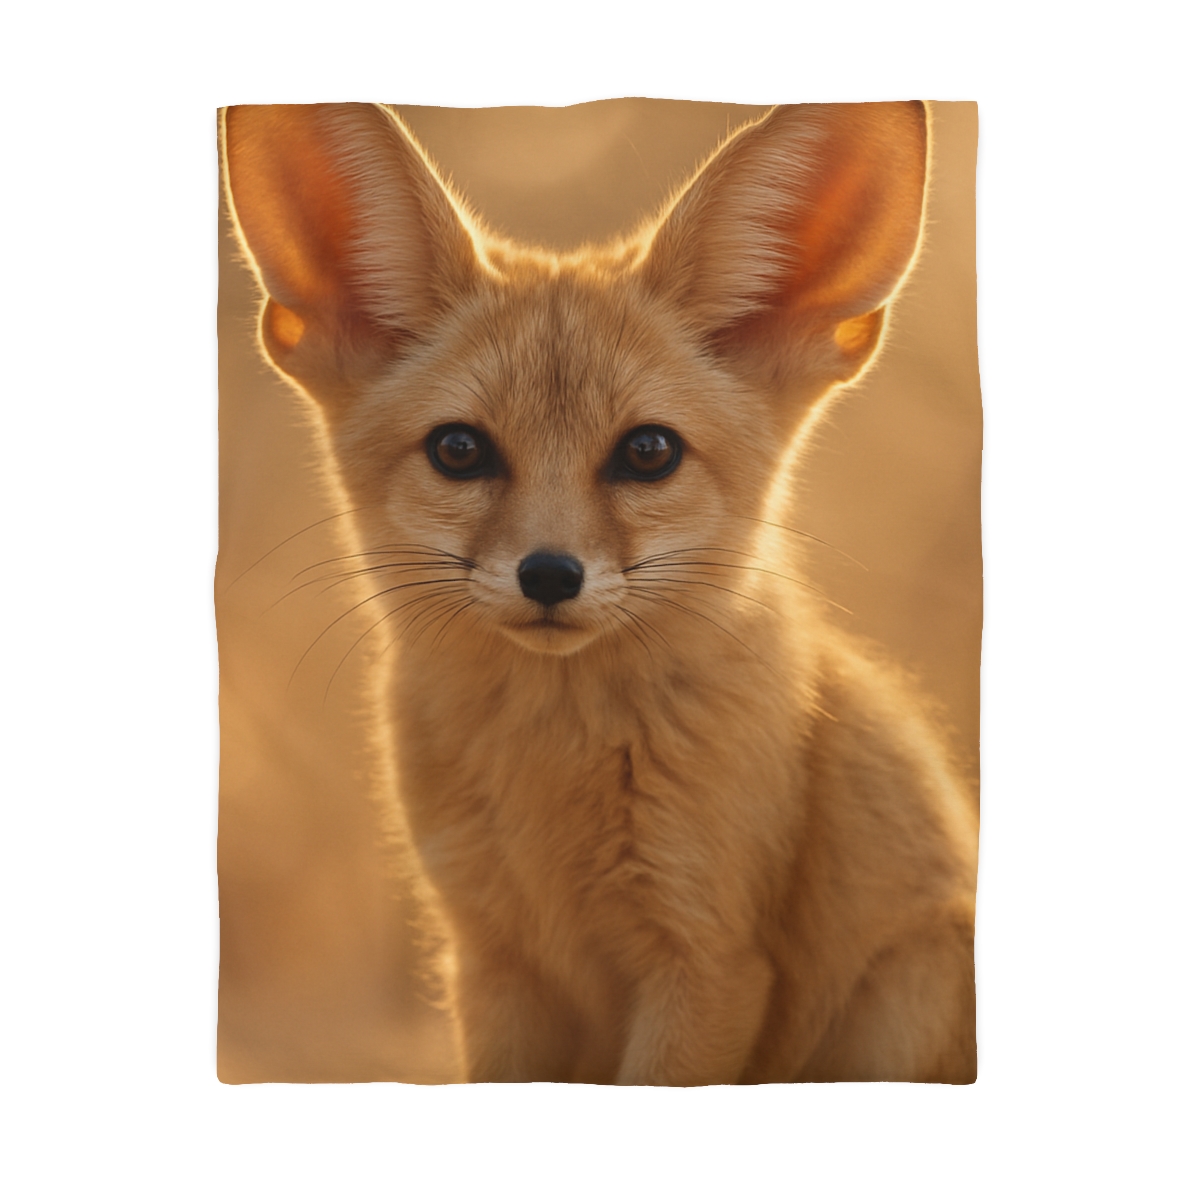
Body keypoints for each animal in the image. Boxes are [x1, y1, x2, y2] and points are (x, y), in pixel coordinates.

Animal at [220, 100, 978, 1085]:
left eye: (648, 452)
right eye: (459, 450)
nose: (550, 573)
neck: (555, 774)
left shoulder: (709, 961)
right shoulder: (491, 961)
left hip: (903, 998)